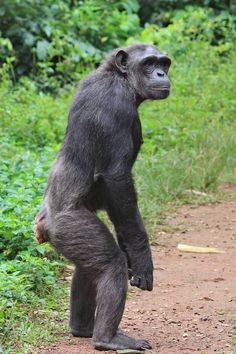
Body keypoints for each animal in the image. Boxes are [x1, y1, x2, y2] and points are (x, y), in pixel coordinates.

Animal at [34, 42, 171, 350]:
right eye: (149, 63)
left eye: (164, 63)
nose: (161, 73)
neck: (120, 78)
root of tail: (44, 225)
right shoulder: (116, 107)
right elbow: (116, 179)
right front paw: (141, 256)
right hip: (70, 226)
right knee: (110, 265)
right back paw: (107, 339)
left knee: (89, 266)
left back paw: (82, 329)